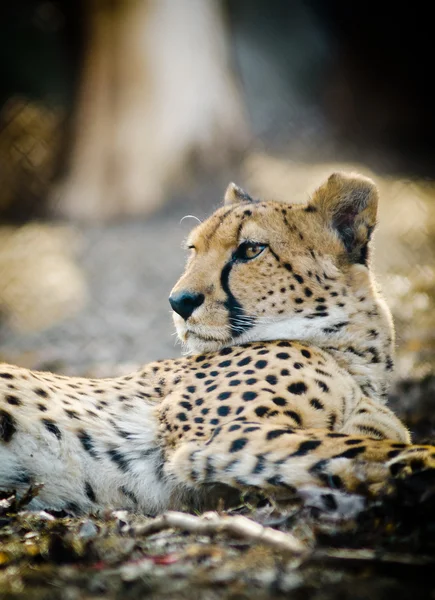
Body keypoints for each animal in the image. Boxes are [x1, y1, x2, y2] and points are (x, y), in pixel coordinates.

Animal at [0, 171, 435, 512]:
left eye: (251, 249)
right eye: (194, 249)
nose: (178, 301)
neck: (355, 358)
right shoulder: (219, 436)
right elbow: (367, 448)